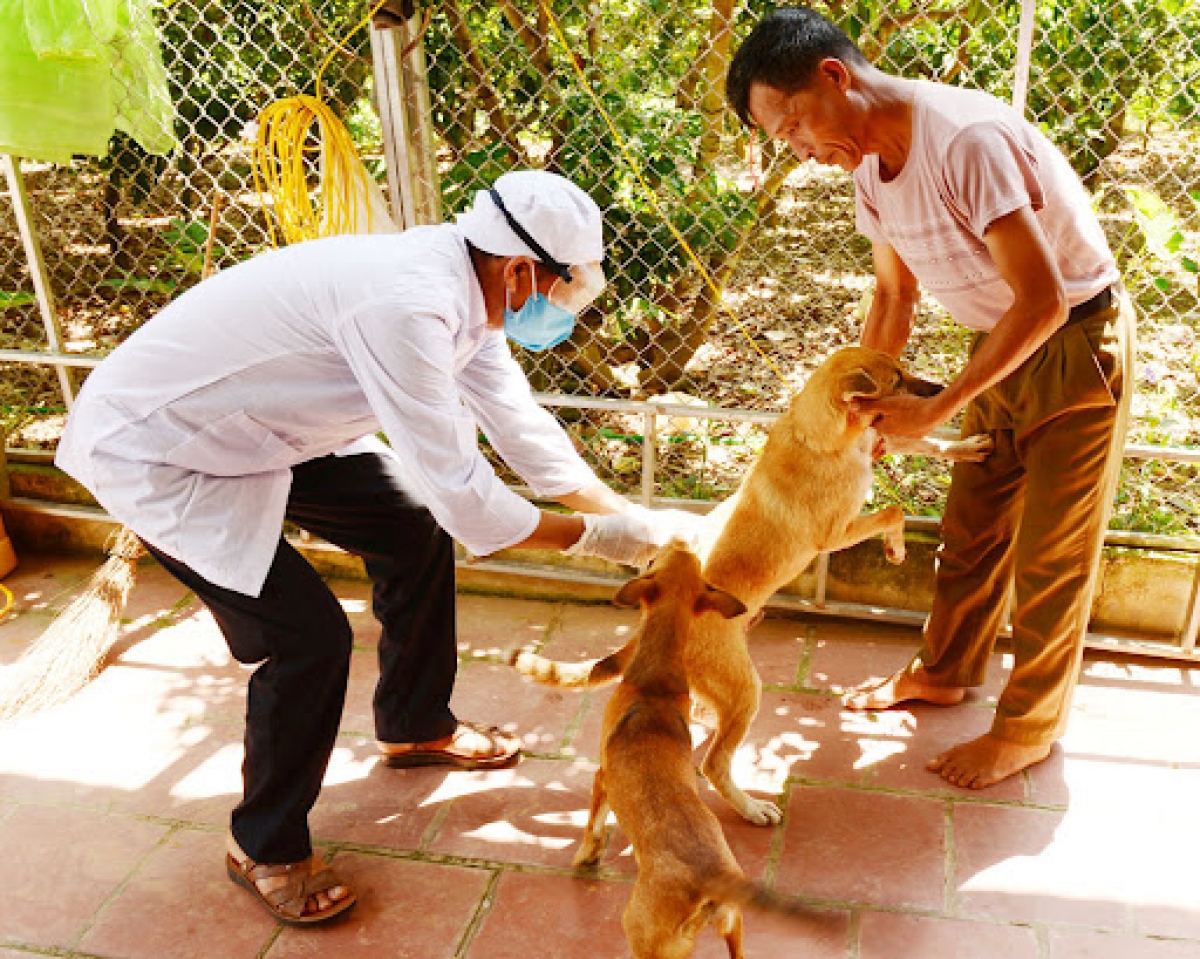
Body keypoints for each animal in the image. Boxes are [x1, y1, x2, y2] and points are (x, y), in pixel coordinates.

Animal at [511, 345, 988, 825]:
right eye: (897, 380)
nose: (942, 391)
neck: (818, 435)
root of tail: (649, 620)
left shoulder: (875, 440)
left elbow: (925, 446)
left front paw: (966, 447)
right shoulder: (835, 533)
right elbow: (894, 511)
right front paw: (896, 548)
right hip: (745, 689)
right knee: (714, 763)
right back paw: (751, 808)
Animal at [578, 544, 840, 955]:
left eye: (655, 560)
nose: (680, 541)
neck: (656, 684)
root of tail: (711, 877)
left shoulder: (601, 777)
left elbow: (593, 822)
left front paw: (585, 855)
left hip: (642, 933)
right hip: (734, 923)